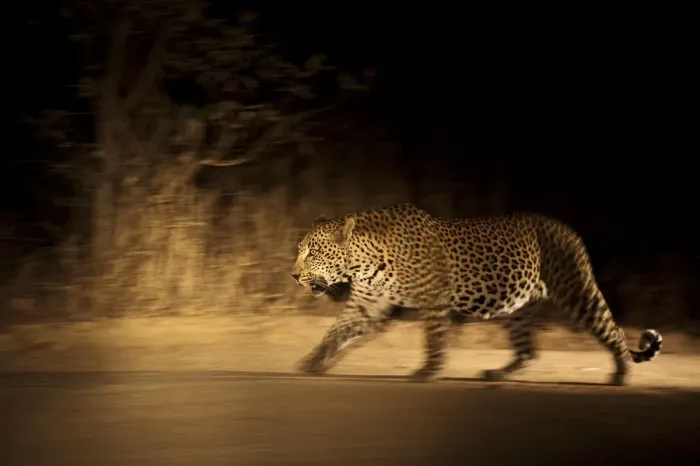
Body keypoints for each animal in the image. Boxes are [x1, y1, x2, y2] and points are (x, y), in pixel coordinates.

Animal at [291, 202, 663, 386]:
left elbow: (434, 338)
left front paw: (429, 372)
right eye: (300, 251)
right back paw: (499, 374)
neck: (364, 262)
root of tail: (568, 230)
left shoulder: (434, 301)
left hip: (577, 291)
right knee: (529, 351)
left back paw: (622, 374)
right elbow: (335, 333)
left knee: (612, 331)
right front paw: (312, 362)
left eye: (313, 252)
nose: (294, 275)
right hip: (517, 307)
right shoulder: (368, 306)